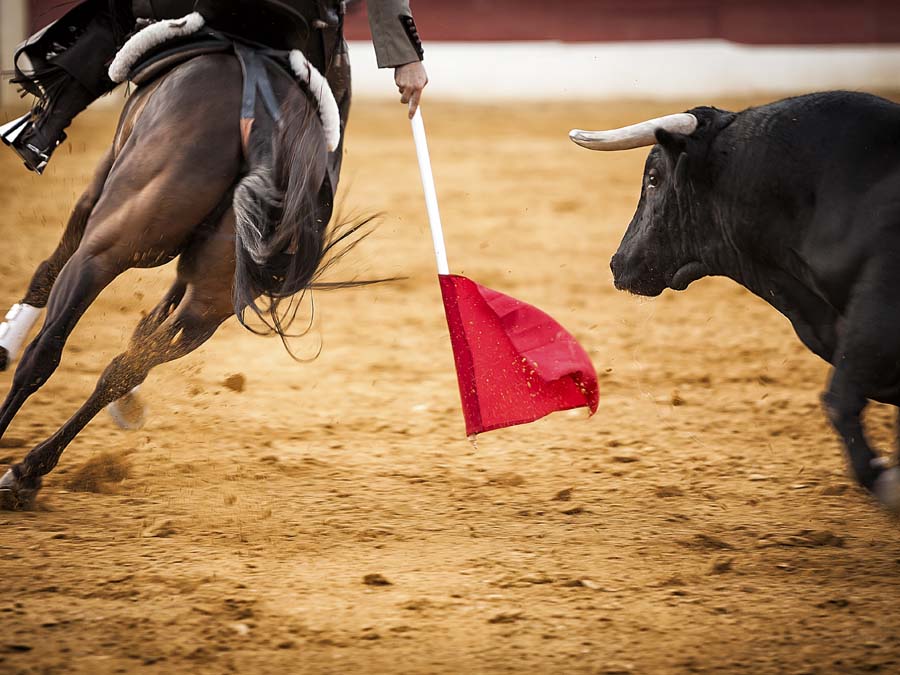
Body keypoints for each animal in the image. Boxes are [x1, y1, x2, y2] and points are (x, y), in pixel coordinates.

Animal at [0, 51, 358, 508]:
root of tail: (266, 125)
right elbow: (148, 331)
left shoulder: (97, 186)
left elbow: (47, 270)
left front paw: (4, 344)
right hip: (209, 305)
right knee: (124, 369)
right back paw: (31, 470)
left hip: (106, 247)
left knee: (45, 351)